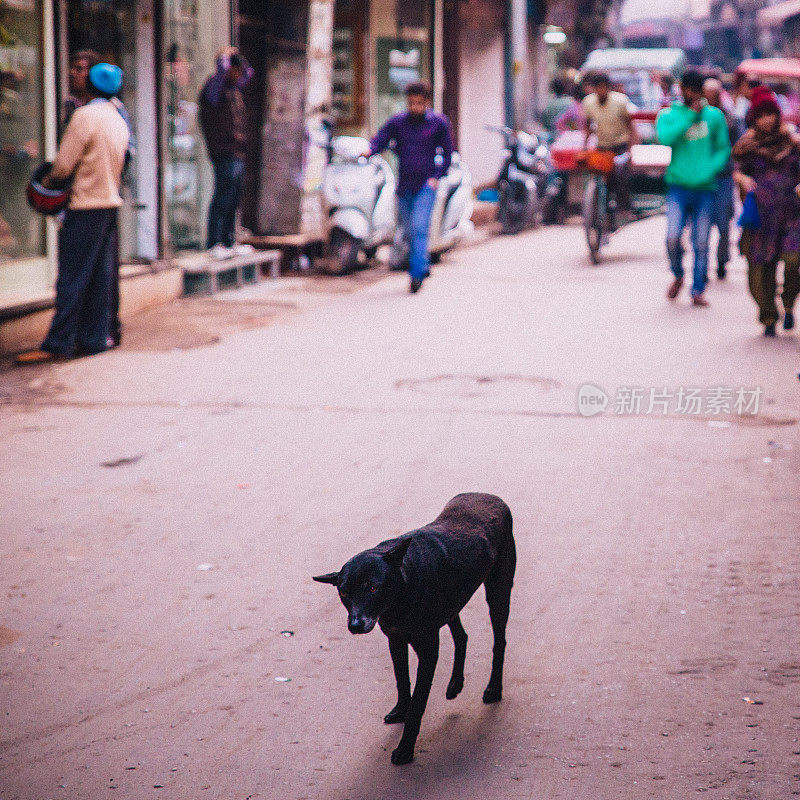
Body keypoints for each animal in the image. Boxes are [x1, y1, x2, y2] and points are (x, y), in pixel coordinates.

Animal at [310, 494, 516, 764]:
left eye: (373, 587)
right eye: (343, 593)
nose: (355, 625)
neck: (400, 593)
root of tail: (491, 496)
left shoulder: (428, 651)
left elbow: (418, 703)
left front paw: (405, 749)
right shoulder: (395, 640)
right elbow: (402, 679)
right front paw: (401, 710)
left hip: (498, 593)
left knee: (499, 642)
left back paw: (493, 689)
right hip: (451, 605)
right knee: (462, 636)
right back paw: (455, 684)